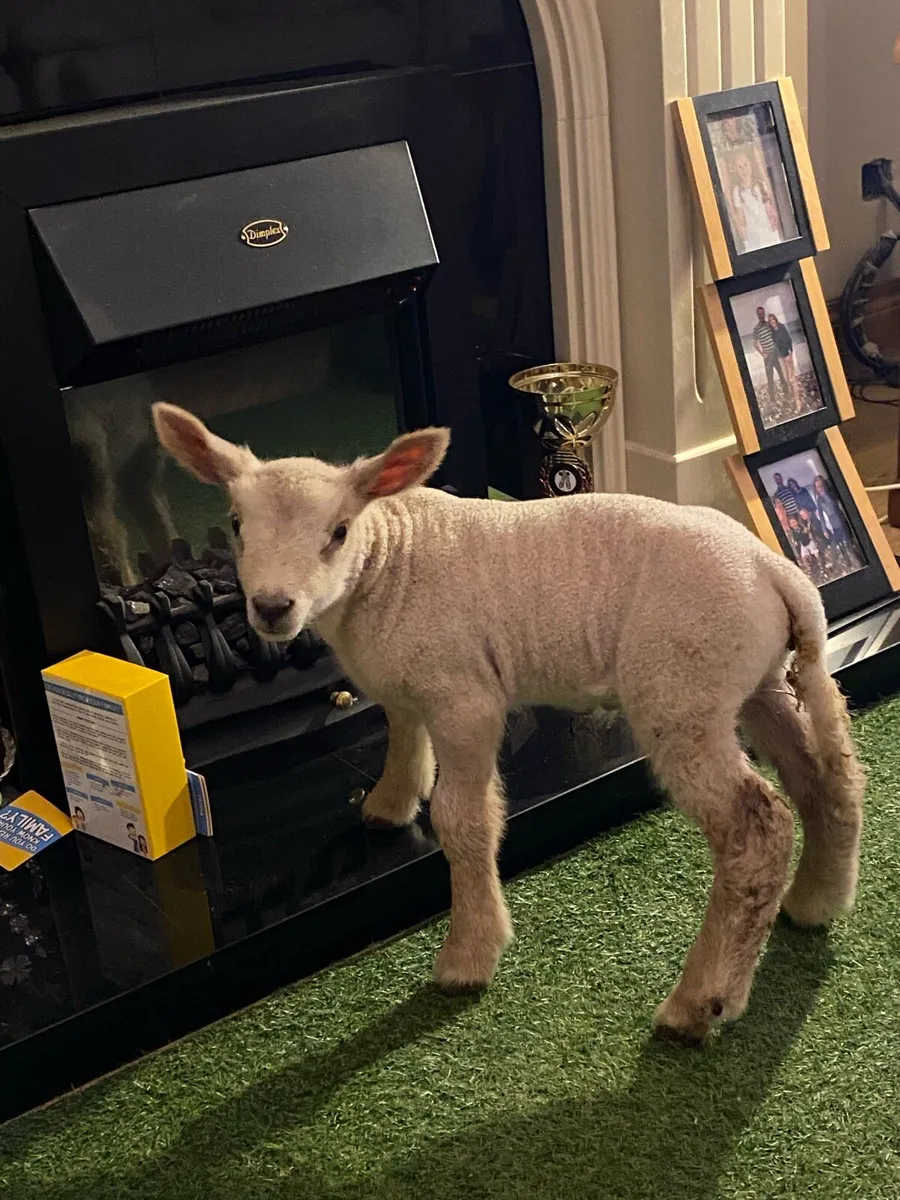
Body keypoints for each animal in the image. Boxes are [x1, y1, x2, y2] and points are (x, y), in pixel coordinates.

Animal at [153, 403, 864, 1045]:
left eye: (339, 532)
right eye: (236, 524)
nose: (272, 608)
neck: (389, 560)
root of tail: (780, 574)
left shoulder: (465, 697)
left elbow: (464, 821)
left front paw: (469, 956)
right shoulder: (407, 688)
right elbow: (402, 741)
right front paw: (387, 806)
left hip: (682, 692)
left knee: (758, 829)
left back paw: (700, 1003)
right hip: (754, 683)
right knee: (829, 780)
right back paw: (816, 901)